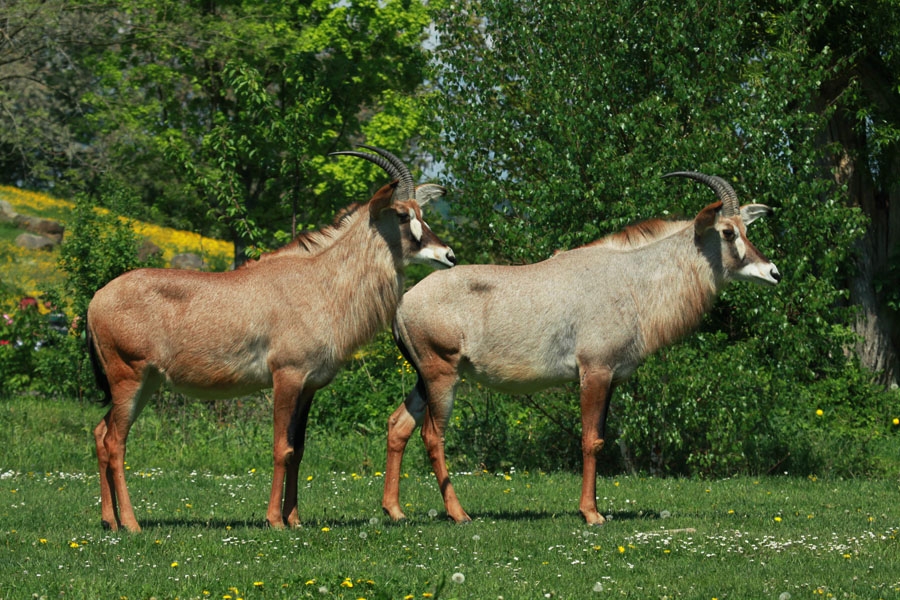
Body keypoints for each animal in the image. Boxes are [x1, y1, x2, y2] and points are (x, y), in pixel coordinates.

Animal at [86, 146, 456, 532]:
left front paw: (294, 519)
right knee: (115, 441)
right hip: (128, 376)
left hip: (146, 382)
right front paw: (275, 520)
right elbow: (282, 447)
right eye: (401, 214)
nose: (448, 255)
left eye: (421, 212)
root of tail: (96, 300)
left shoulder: (310, 386)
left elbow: (299, 448)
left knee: (100, 433)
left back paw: (110, 520)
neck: (319, 282)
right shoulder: (286, 376)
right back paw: (131, 523)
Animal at [381, 172, 781, 525]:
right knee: (433, 435)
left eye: (746, 229)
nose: (773, 272)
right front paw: (591, 514)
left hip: (423, 378)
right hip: (442, 374)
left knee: (399, 425)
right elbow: (590, 440)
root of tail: (403, 303)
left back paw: (395, 511)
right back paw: (458, 514)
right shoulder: (594, 370)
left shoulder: (612, 376)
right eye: (727, 232)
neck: (630, 279)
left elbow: (600, 439)